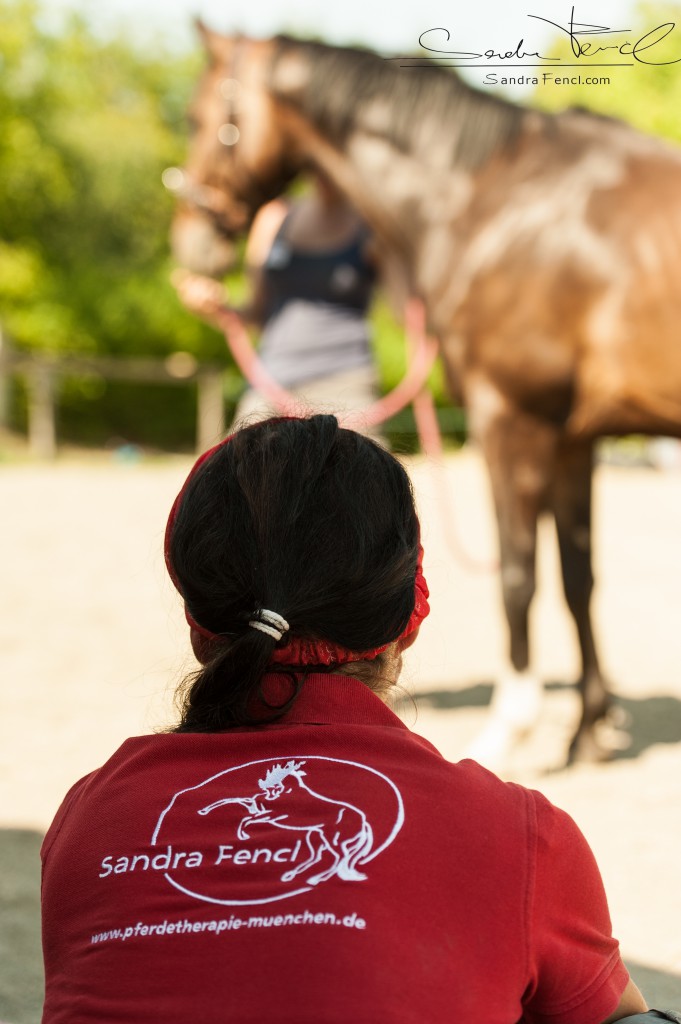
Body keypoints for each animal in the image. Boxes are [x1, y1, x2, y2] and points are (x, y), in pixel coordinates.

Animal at [166, 24, 679, 765]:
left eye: (196, 117)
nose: (191, 247)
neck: (499, 203)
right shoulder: (572, 438)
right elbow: (577, 581)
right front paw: (587, 733)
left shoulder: (513, 421)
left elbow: (518, 577)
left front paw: (509, 729)